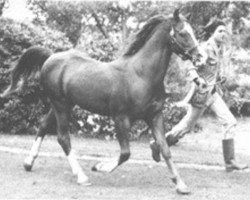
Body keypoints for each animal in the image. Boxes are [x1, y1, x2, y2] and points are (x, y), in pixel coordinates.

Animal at [0, 9, 205, 194]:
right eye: (183, 33)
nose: (201, 58)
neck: (140, 74)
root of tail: (50, 57)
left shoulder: (154, 115)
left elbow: (165, 148)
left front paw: (181, 185)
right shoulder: (120, 118)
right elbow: (125, 153)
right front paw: (99, 166)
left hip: (62, 104)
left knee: (43, 126)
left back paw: (28, 163)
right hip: (60, 105)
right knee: (63, 138)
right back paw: (82, 177)